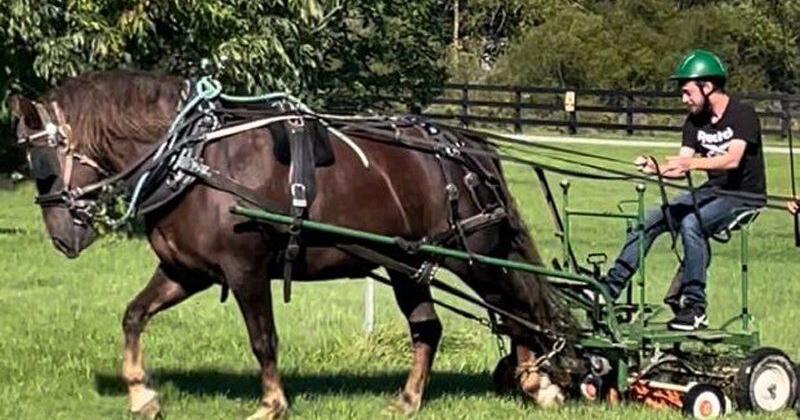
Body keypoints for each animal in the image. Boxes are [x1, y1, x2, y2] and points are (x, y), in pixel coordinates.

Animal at [8, 69, 578, 419]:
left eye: (41, 165)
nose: (61, 237)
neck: (192, 159)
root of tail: (469, 147)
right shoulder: (185, 271)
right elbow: (133, 315)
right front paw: (141, 394)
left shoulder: (245, 270)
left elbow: (263, 339)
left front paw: (271, 403)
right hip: (407, 262)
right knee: (432, 328)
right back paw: (412, 399)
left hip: (476, 255)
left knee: (518, 309)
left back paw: (539, 382)